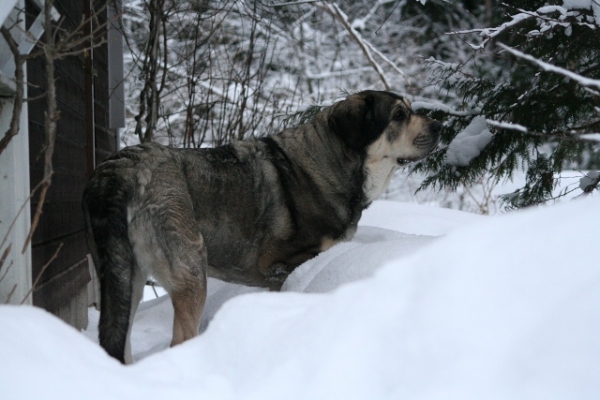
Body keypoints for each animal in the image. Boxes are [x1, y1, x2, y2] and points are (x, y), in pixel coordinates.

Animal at [82, 90, 440, 362]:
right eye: (398, 115)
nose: (439, 125)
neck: (333, 162)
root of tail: (119, 170)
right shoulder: (282, 266)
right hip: (191, 271)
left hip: (122, 278)